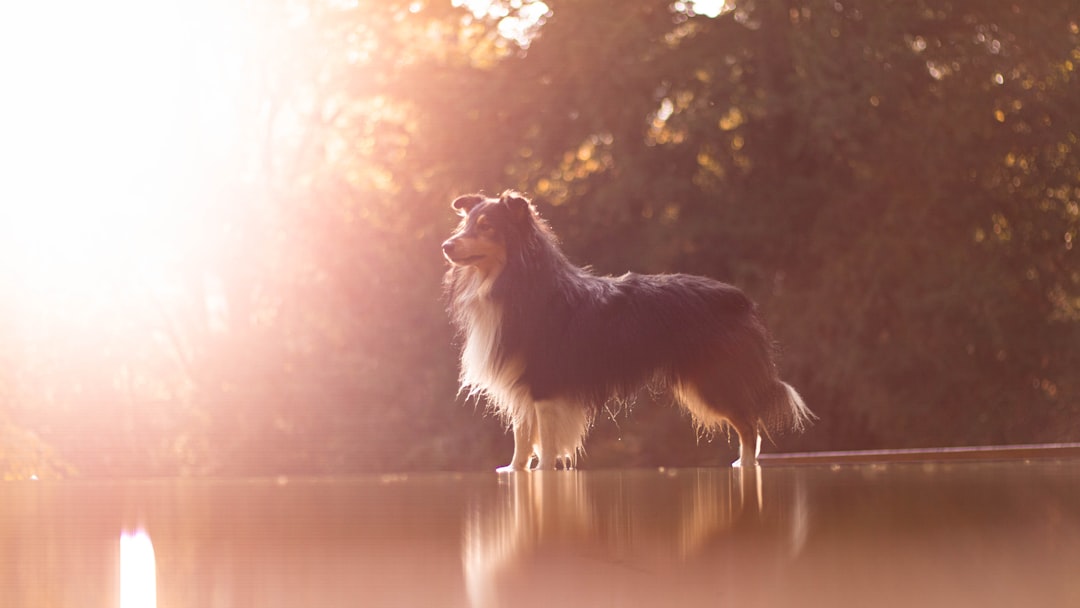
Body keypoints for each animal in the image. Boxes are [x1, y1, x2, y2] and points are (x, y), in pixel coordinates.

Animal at [442, 191, 812, 470]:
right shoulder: (523, 383)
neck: (513, 281)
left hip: (713, 381)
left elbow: (546, 441)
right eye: (466, 224)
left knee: (749, 424)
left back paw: (745, 466)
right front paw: (515, 470)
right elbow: (522, 435)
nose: (446, 245)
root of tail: (737, 297)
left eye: (487, 227)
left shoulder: (546, 382)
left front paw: (544, 472)